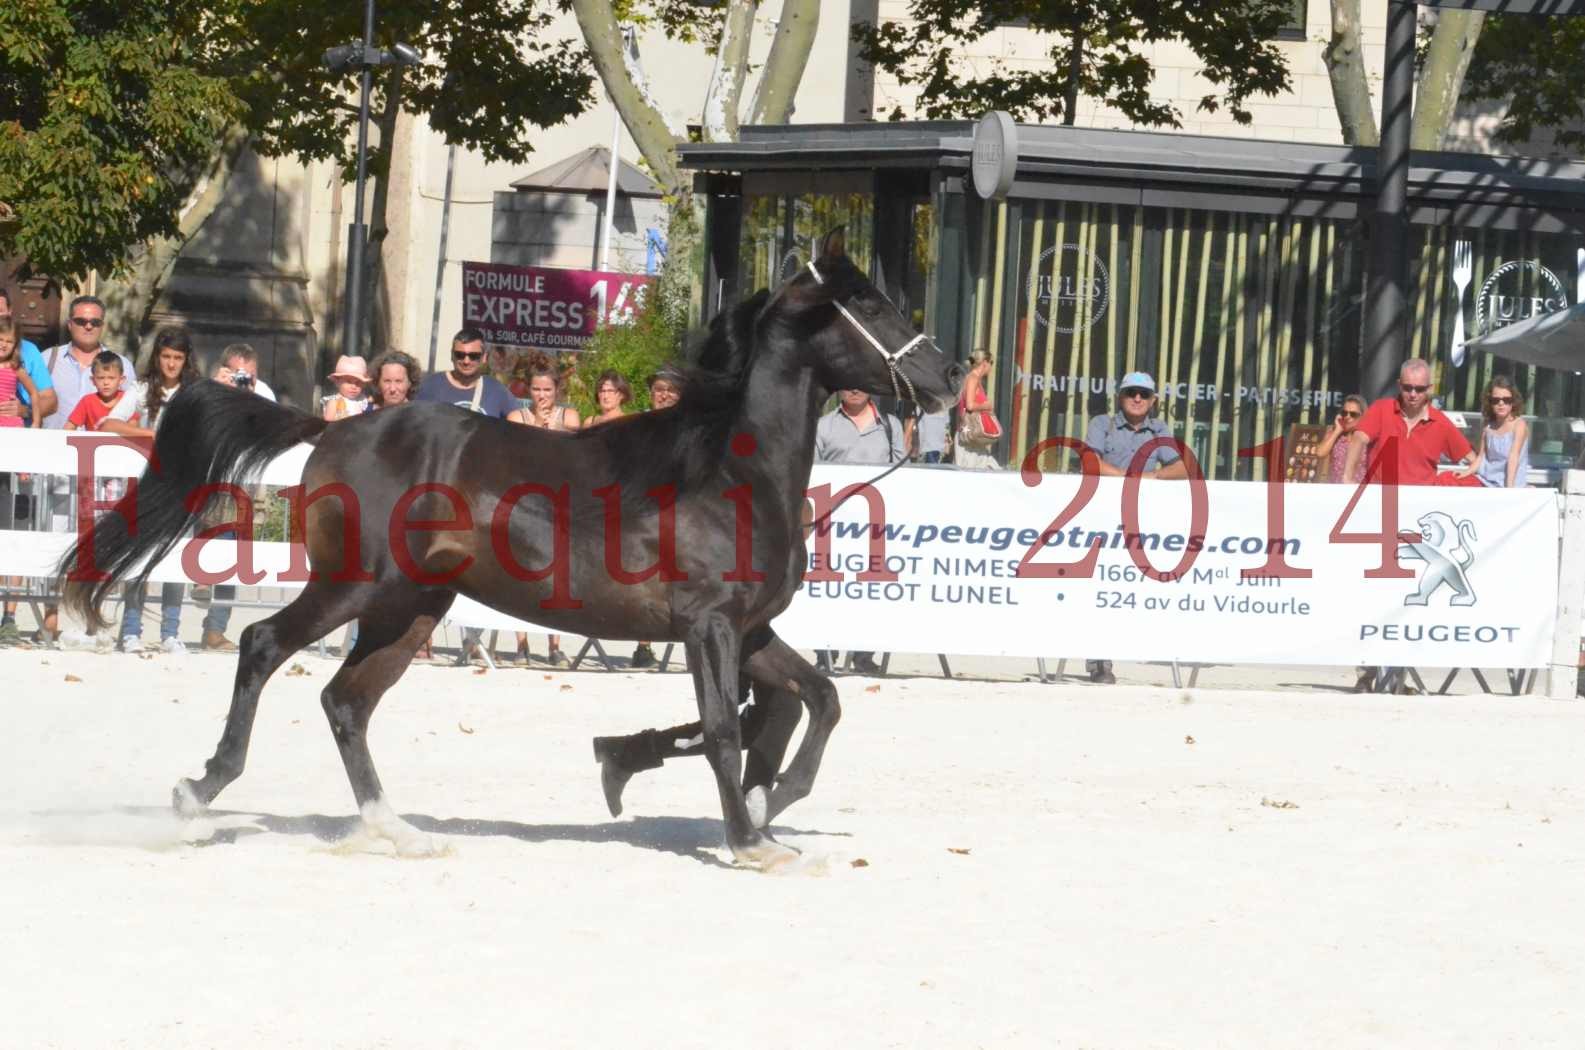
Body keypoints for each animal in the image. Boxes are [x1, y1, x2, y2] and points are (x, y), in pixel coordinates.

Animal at [61, 233, 957, 869]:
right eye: (870, 305)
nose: (946, 377)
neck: (727, 468)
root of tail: (336, 426)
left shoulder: (752, 630)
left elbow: (820, 698)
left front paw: (769, 810)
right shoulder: (708, 627)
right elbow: (723, 728)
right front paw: (746, 840)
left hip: (411, 609)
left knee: (347, 701)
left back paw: (398, 831)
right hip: (354, 587)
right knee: (260, 645)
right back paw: (198, 792)